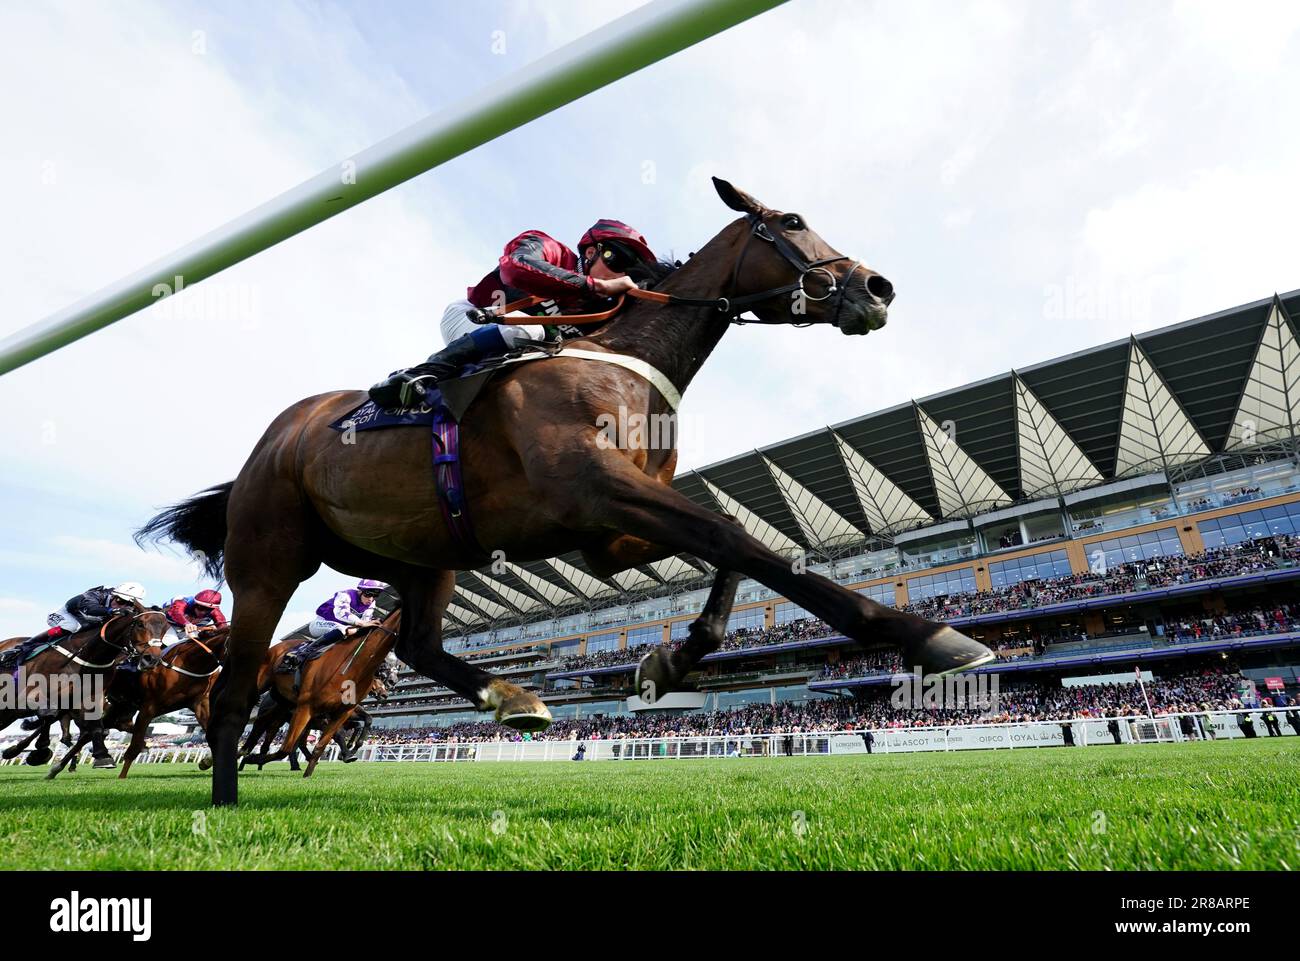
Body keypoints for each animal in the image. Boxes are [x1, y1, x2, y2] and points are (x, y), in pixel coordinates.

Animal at [142, 178, 987, 806]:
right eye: (792, 220)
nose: (877, 286)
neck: (618, 360)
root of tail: (278, 438)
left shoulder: (605, 531)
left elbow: (728, 540)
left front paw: (666, 663)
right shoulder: (596, 489)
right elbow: (744, 539)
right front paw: (924, 634)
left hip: (416, 552)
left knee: (417, 642)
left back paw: (511, 697)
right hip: (270, 557)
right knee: (236, 690)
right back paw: (223, 797)